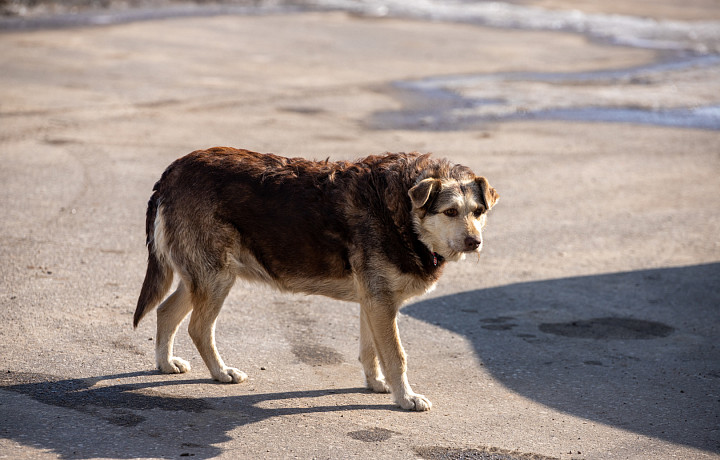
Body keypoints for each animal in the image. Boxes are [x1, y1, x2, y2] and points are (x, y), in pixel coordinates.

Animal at [132, 149, 498, 412]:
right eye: (450, 212)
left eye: (478, 212)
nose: (475, 242)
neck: (403, 213)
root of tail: (173, 171)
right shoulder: (381, 301)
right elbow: (396, 356)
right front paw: (406, 398)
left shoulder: (374, 301)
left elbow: (371, 351)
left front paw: (377, 384)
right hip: (216, 277)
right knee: (198, 328)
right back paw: (221, 373)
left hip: (201, 278)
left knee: (166, 311)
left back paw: (165, 363)